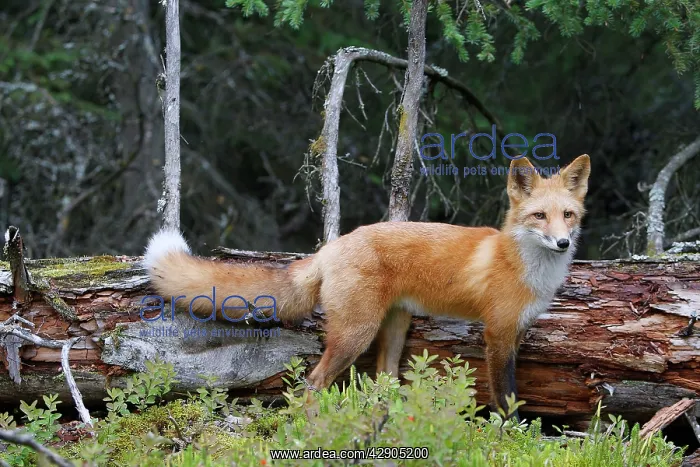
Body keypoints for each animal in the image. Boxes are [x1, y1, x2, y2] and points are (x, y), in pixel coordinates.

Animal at [142, 154, 590, 421]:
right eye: (539, 216)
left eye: (568, 215)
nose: (562, 243)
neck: (524, 265)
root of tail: (331, 246)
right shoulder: (497, 333)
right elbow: (505, 395)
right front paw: (511, 434)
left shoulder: (516, 332)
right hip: (356, 334)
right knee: (313, 382)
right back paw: (314, 427)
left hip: (393, 330)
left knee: (382, 381)